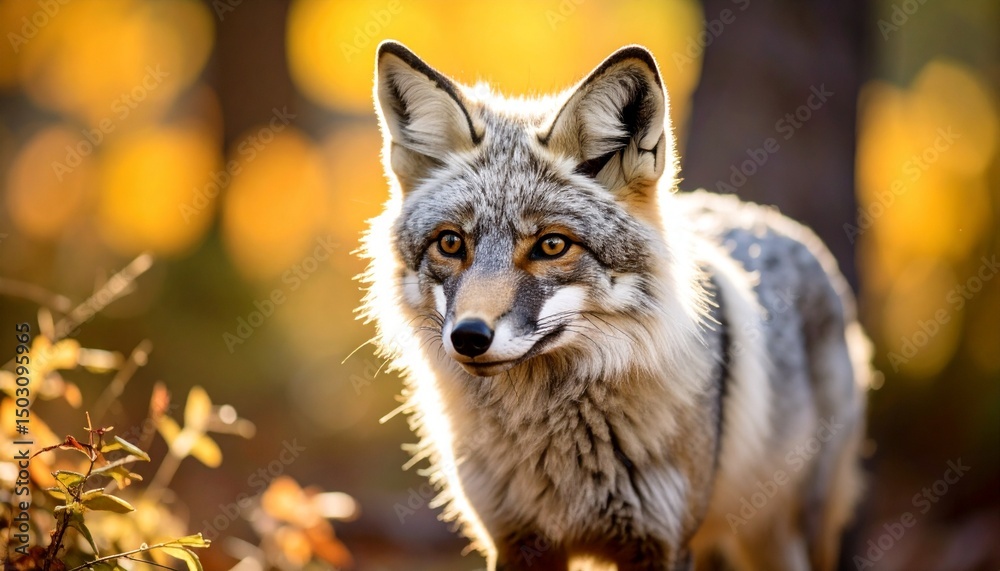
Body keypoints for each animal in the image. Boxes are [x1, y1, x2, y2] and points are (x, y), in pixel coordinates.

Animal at [360, 40, 870, 571]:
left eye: (552, 246)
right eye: (451, 243)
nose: (469, 337)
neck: (558, 451)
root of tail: (768, 219)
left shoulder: (662, 543)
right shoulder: (517, 540)